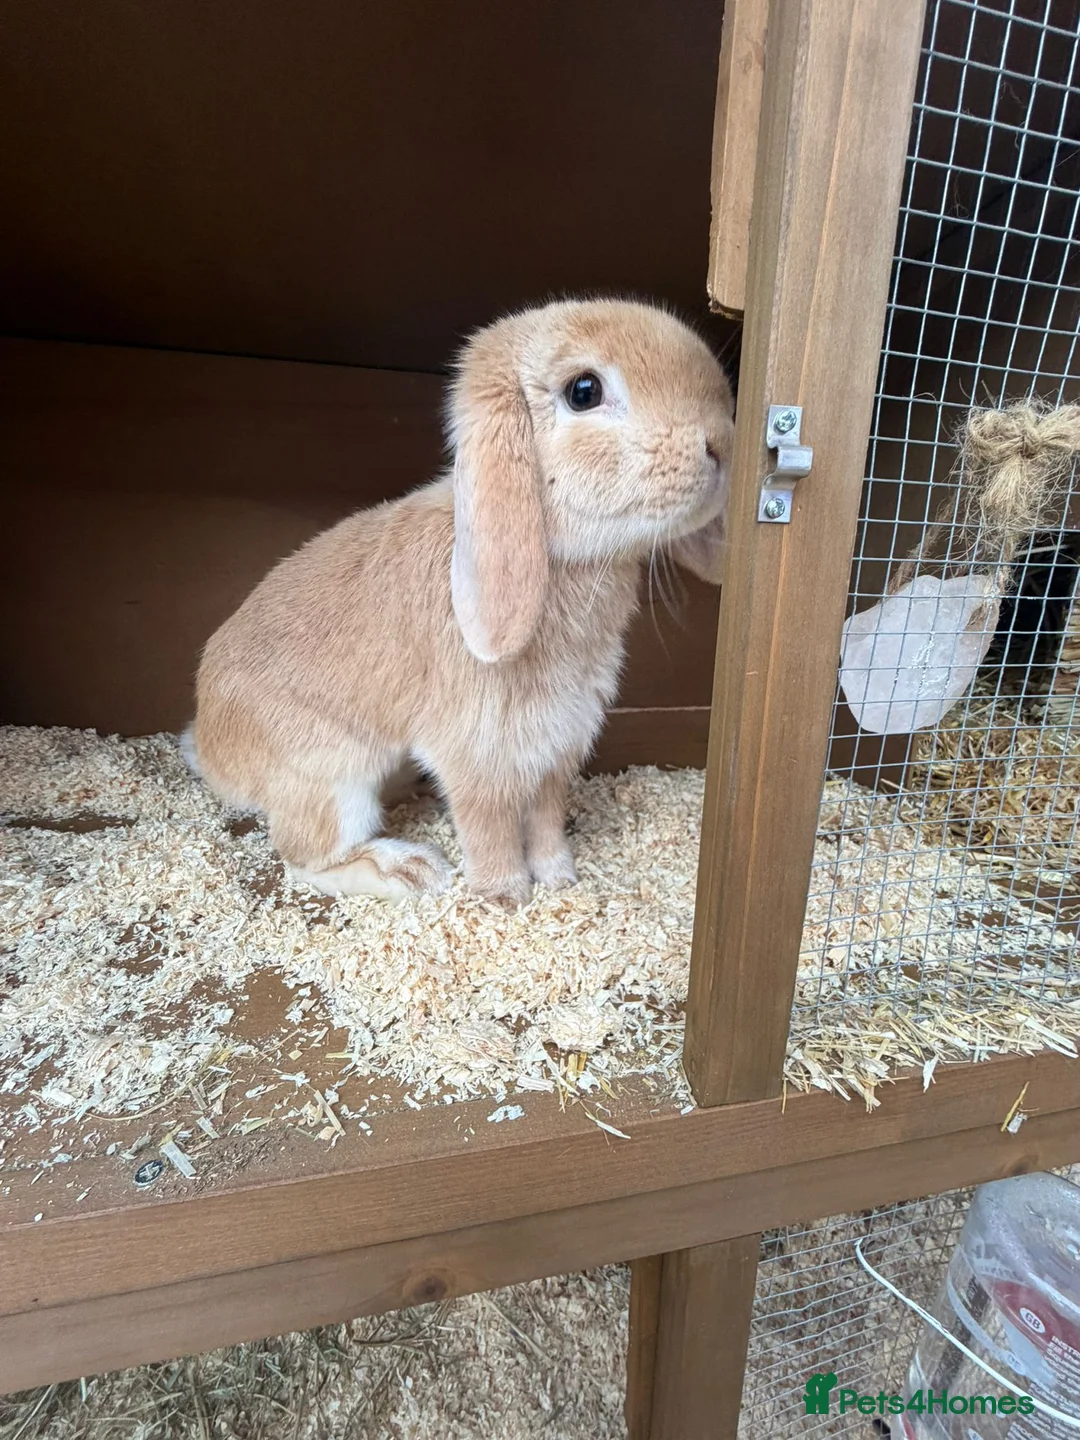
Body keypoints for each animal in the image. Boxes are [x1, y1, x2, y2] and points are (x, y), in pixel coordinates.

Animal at [187, 298, 734, 905]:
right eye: (584, 391)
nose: (721, 444)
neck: (561, 563)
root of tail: (210, 751)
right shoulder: (475, 750)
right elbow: (487, 821)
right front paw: (505, 896)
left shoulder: (559, 742)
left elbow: (546, 815)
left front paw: (559, 879)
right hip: (330, 776)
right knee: (306, 858)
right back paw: (410, 871)